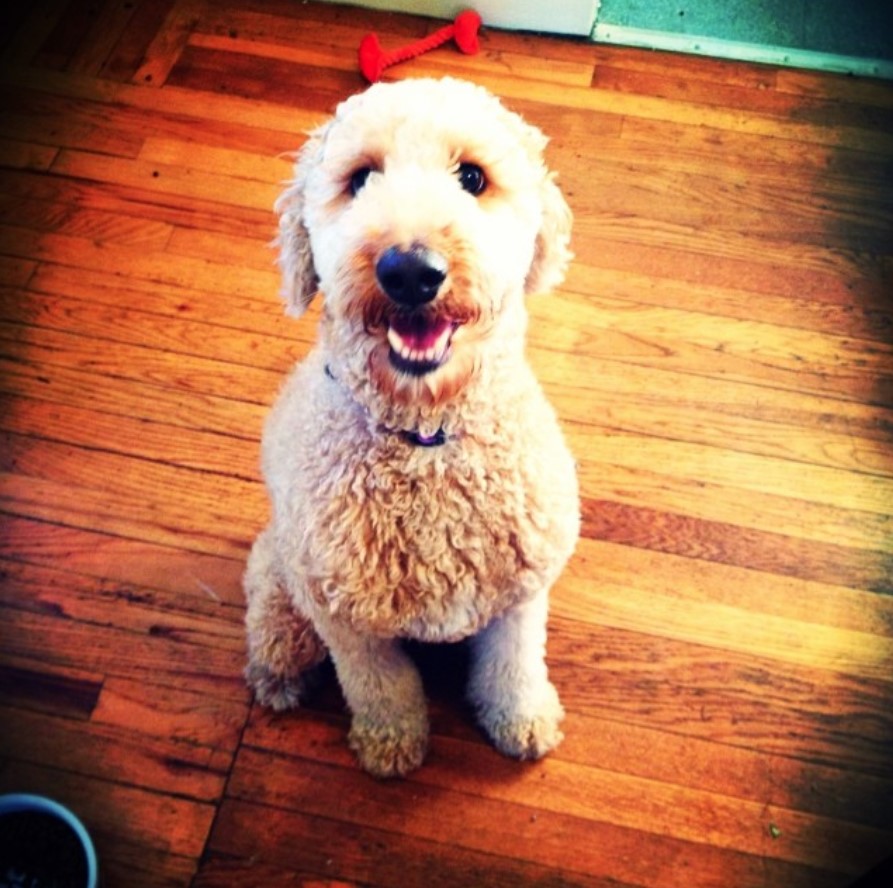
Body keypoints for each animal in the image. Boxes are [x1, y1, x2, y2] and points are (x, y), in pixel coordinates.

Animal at [244, 78, 580, 776]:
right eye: (359, 178)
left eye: (472, 177)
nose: (410, 270)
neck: (426, 442)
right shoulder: (347, 619)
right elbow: (381, 686)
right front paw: (391, 744)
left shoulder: (520, 597)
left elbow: (513, 669)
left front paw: (523, 722)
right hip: (281, 586)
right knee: (275, 634)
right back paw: (274, 680)